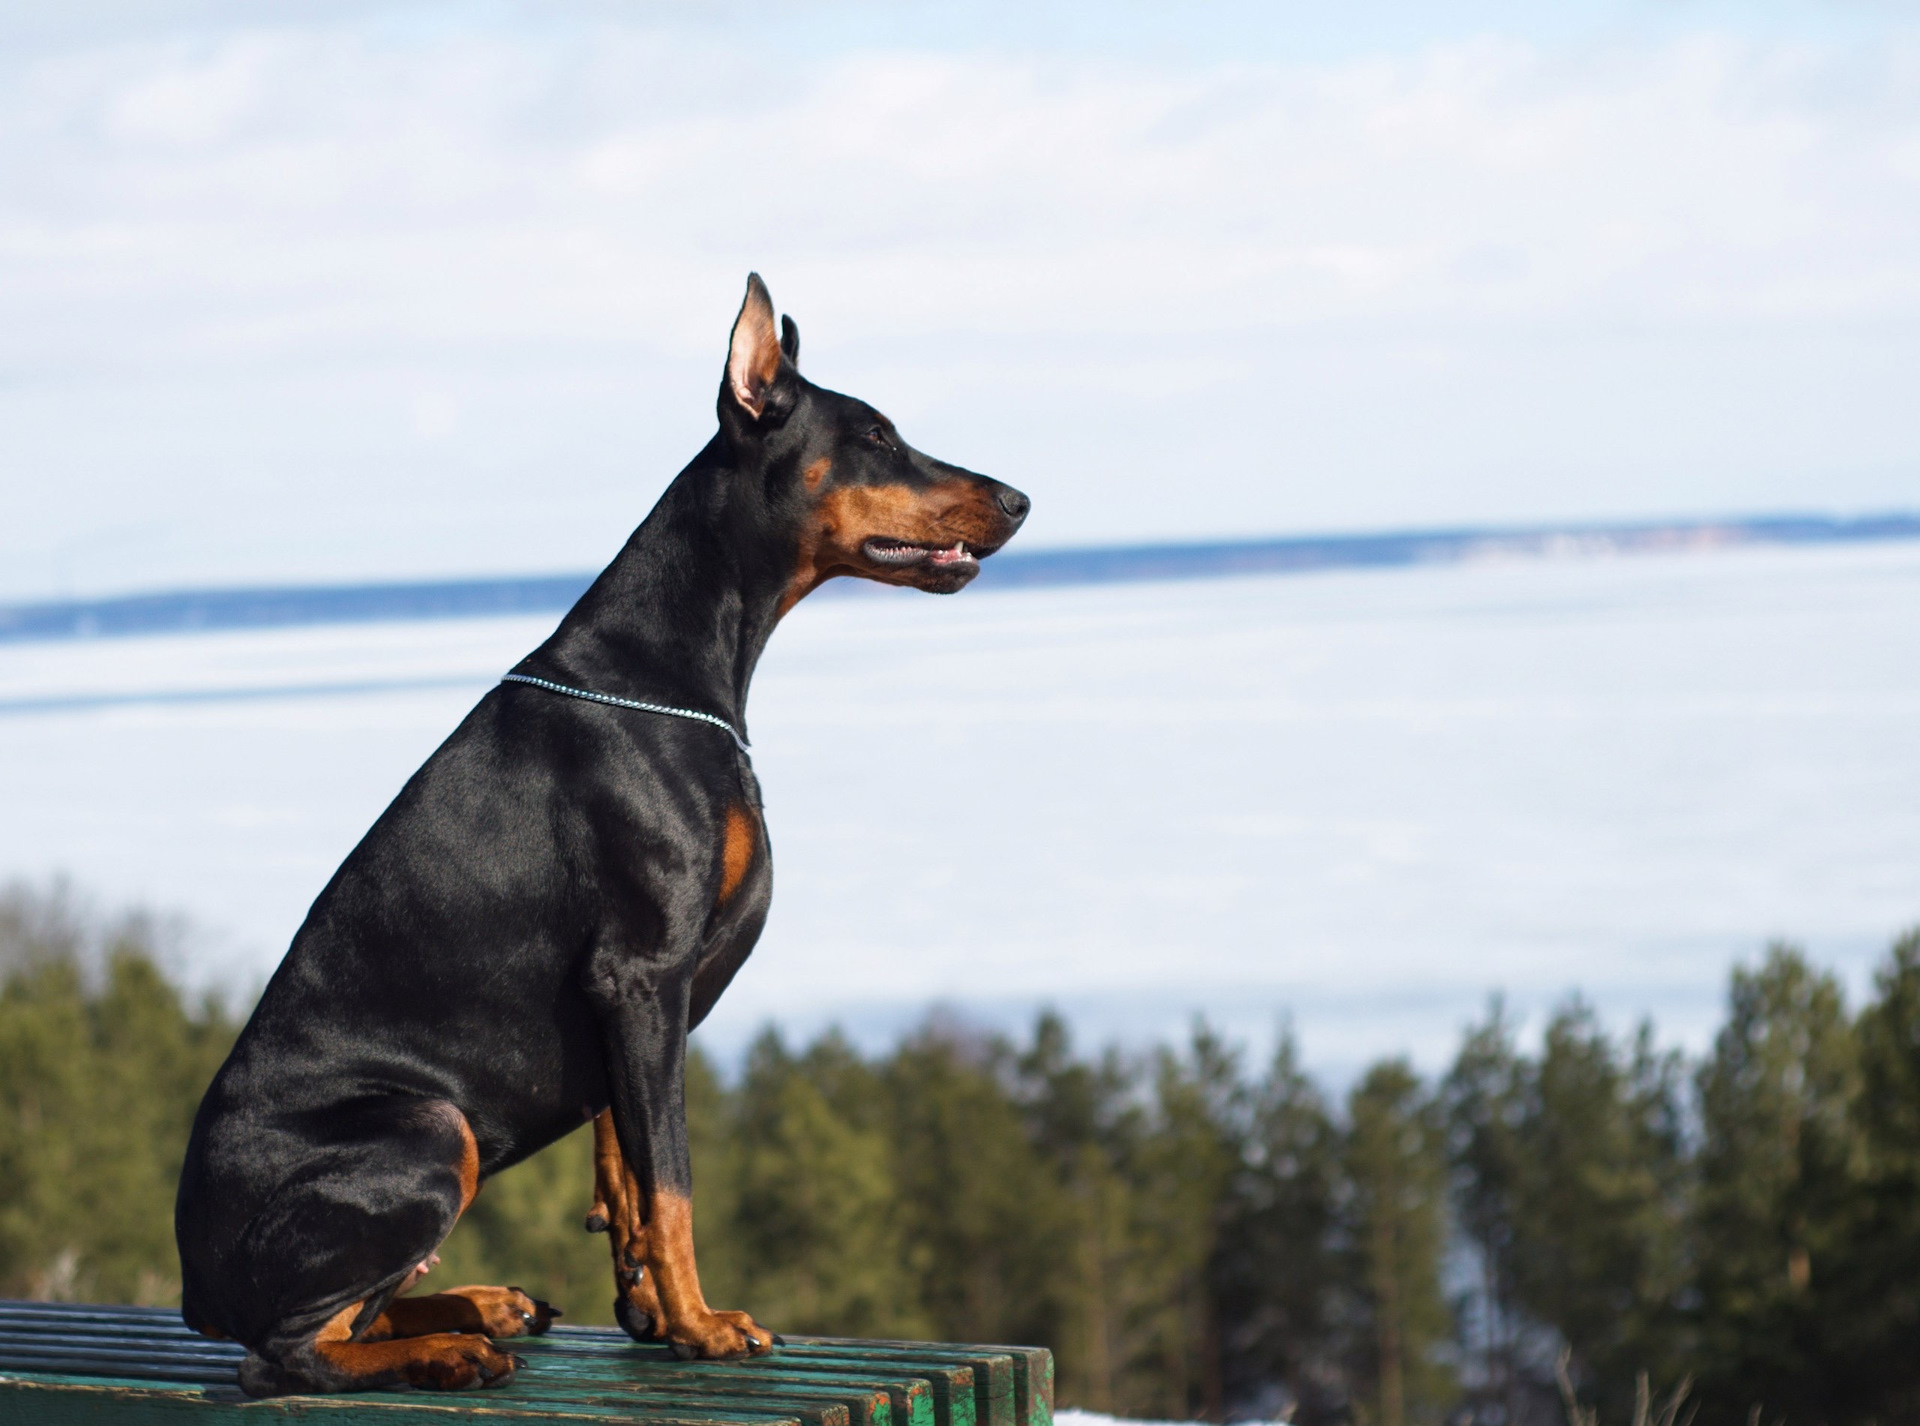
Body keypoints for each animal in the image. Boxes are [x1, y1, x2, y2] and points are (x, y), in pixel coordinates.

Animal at [172, 276, 1029, 1397]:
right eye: (878, 436)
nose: (1018, 500)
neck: (671, 662)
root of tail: (192, 1282)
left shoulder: (634, 1003)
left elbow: (624, 1166)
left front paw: (656, 1316)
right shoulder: (643, 970)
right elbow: (672, 1178)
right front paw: (704, 1325)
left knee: (347, 1318)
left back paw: (480, 1304)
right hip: (429, 1126)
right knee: (288, 1354)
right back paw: (450, 1349)